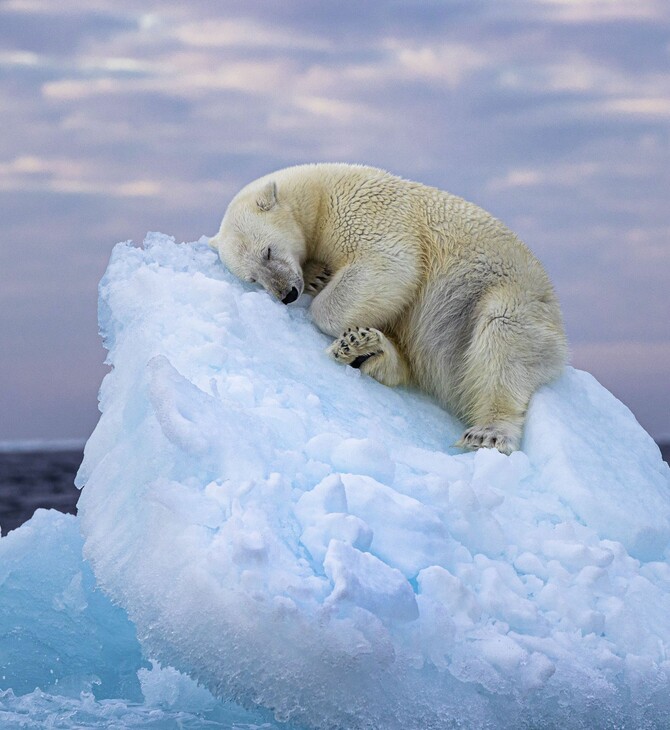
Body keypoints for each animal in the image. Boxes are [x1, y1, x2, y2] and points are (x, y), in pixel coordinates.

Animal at [213, 162, 568, 452]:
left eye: (268, 251)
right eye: (253, 278)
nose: (286, 293)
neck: (319, 194)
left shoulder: (365, 211)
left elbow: (389, 264)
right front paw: (318, 276)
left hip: (505, 298)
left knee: (502, 340)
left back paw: (488, 432)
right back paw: (364, 349)